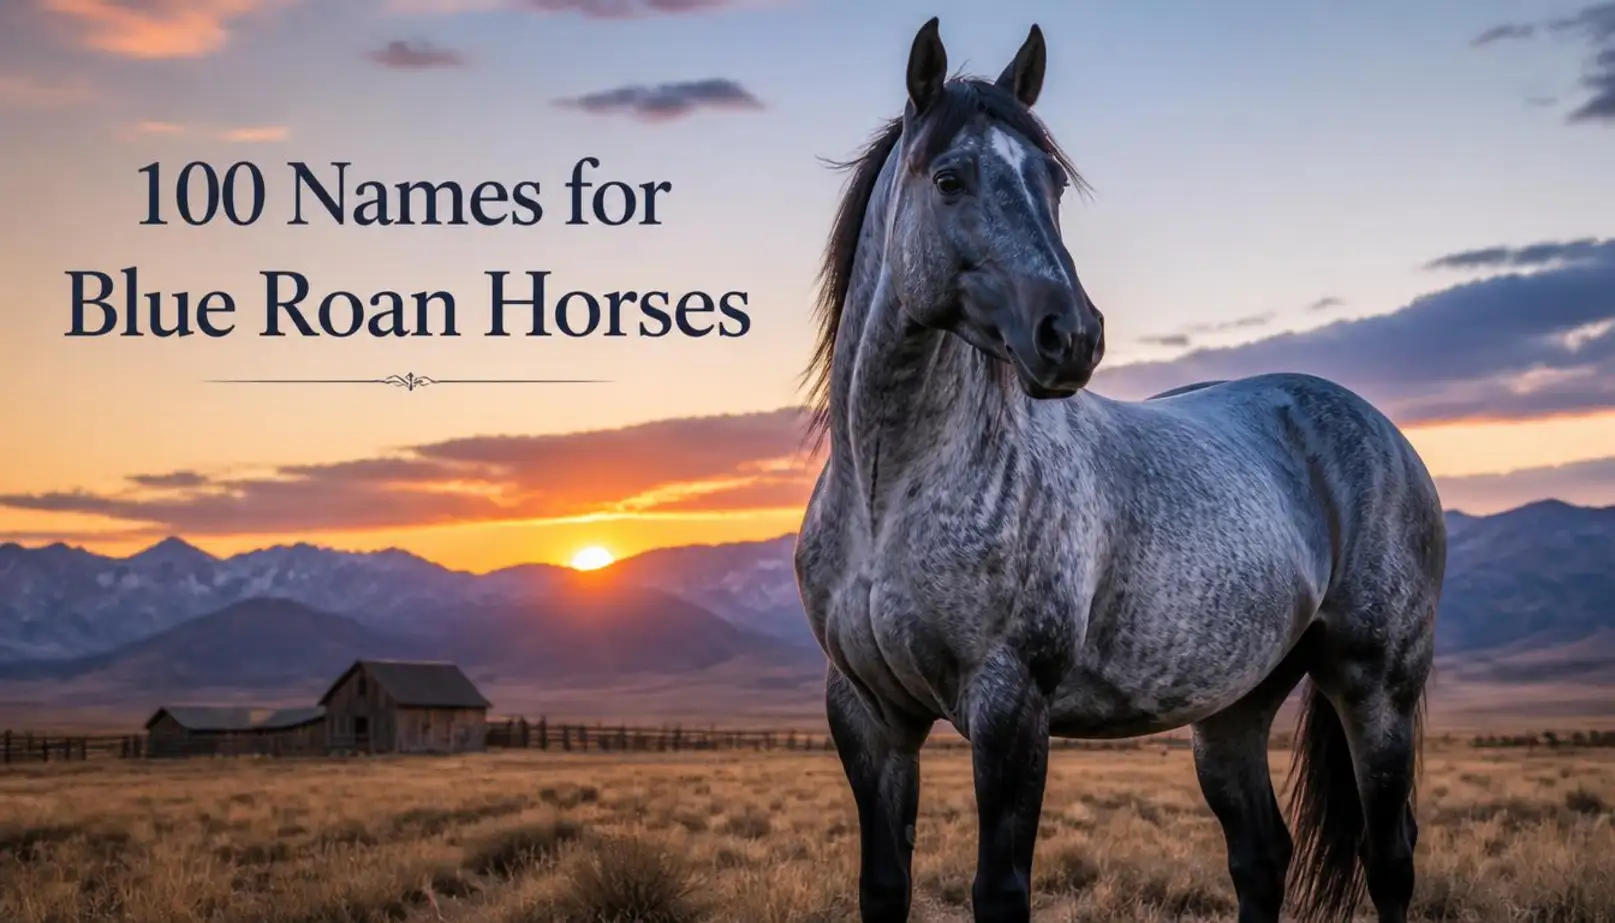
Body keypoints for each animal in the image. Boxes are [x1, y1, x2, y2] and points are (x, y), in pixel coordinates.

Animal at [793, 17, 1444, 923]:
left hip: (1375, 686)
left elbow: (1000, 890)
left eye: (1054, 182)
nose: (1070, 336)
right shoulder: (867, 715)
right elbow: (883, 886)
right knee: (1261, 856)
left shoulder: (1009, 708)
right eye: (949, 179)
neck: (890, 492)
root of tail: (1380, 431)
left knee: (1388, 859)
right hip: (1231, 710)